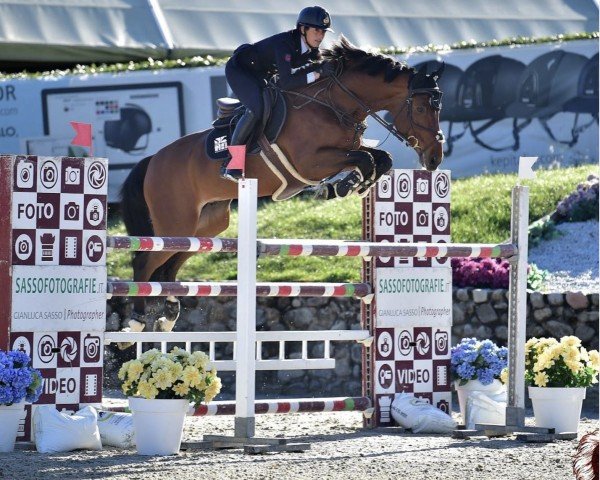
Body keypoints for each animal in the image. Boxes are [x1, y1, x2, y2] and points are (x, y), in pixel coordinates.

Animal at [118, 35, 446, 336]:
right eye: (420, 109)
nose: (434, 158)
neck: (334, 103)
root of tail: (153, 160)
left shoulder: (343, 151)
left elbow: (380, 158)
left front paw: (350, 185)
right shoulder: (310, 162)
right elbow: (365, 159)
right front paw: (344, 186)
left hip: (206, 225)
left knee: (170, 265)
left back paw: (169, 314)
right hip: (176, 223)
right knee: (144, 262)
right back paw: (136, 320)